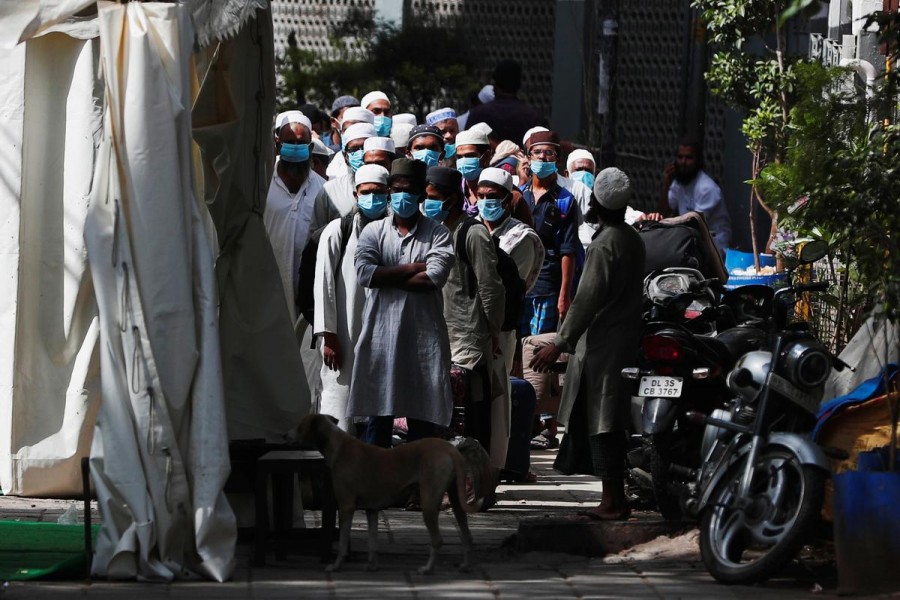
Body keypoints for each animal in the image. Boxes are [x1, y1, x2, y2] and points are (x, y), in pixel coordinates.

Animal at [292, 414, 482, 576]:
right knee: (467, 537)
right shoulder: (371, 509)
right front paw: (372, 566)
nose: (286, 435)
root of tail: (451, 450)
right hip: (456, 499)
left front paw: (336, 566)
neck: (337, 446)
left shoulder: (346, 507)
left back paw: (427, 569)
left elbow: (343, 542)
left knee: (437, 540)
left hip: (429, 504)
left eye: (300, 426)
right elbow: (372, 542)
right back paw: (466, 566)